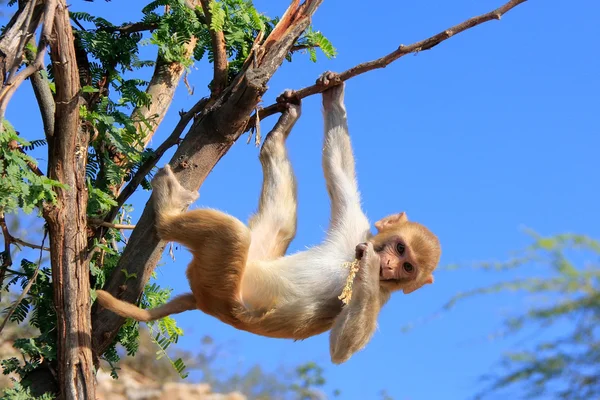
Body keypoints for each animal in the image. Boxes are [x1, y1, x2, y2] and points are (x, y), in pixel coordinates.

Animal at [97, 70, 440, 364]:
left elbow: (341, 347)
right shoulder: (356, 226)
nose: (390, 265)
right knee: (279, 224)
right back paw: (278, 135)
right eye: (400, 248)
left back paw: (168, 212)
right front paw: (333, 93)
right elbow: (338, 168)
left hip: (221, 286)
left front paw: (369, 264)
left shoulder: (380, 294)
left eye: (408, 268)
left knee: (232, 234)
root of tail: (202, 300)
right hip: (255, 256)